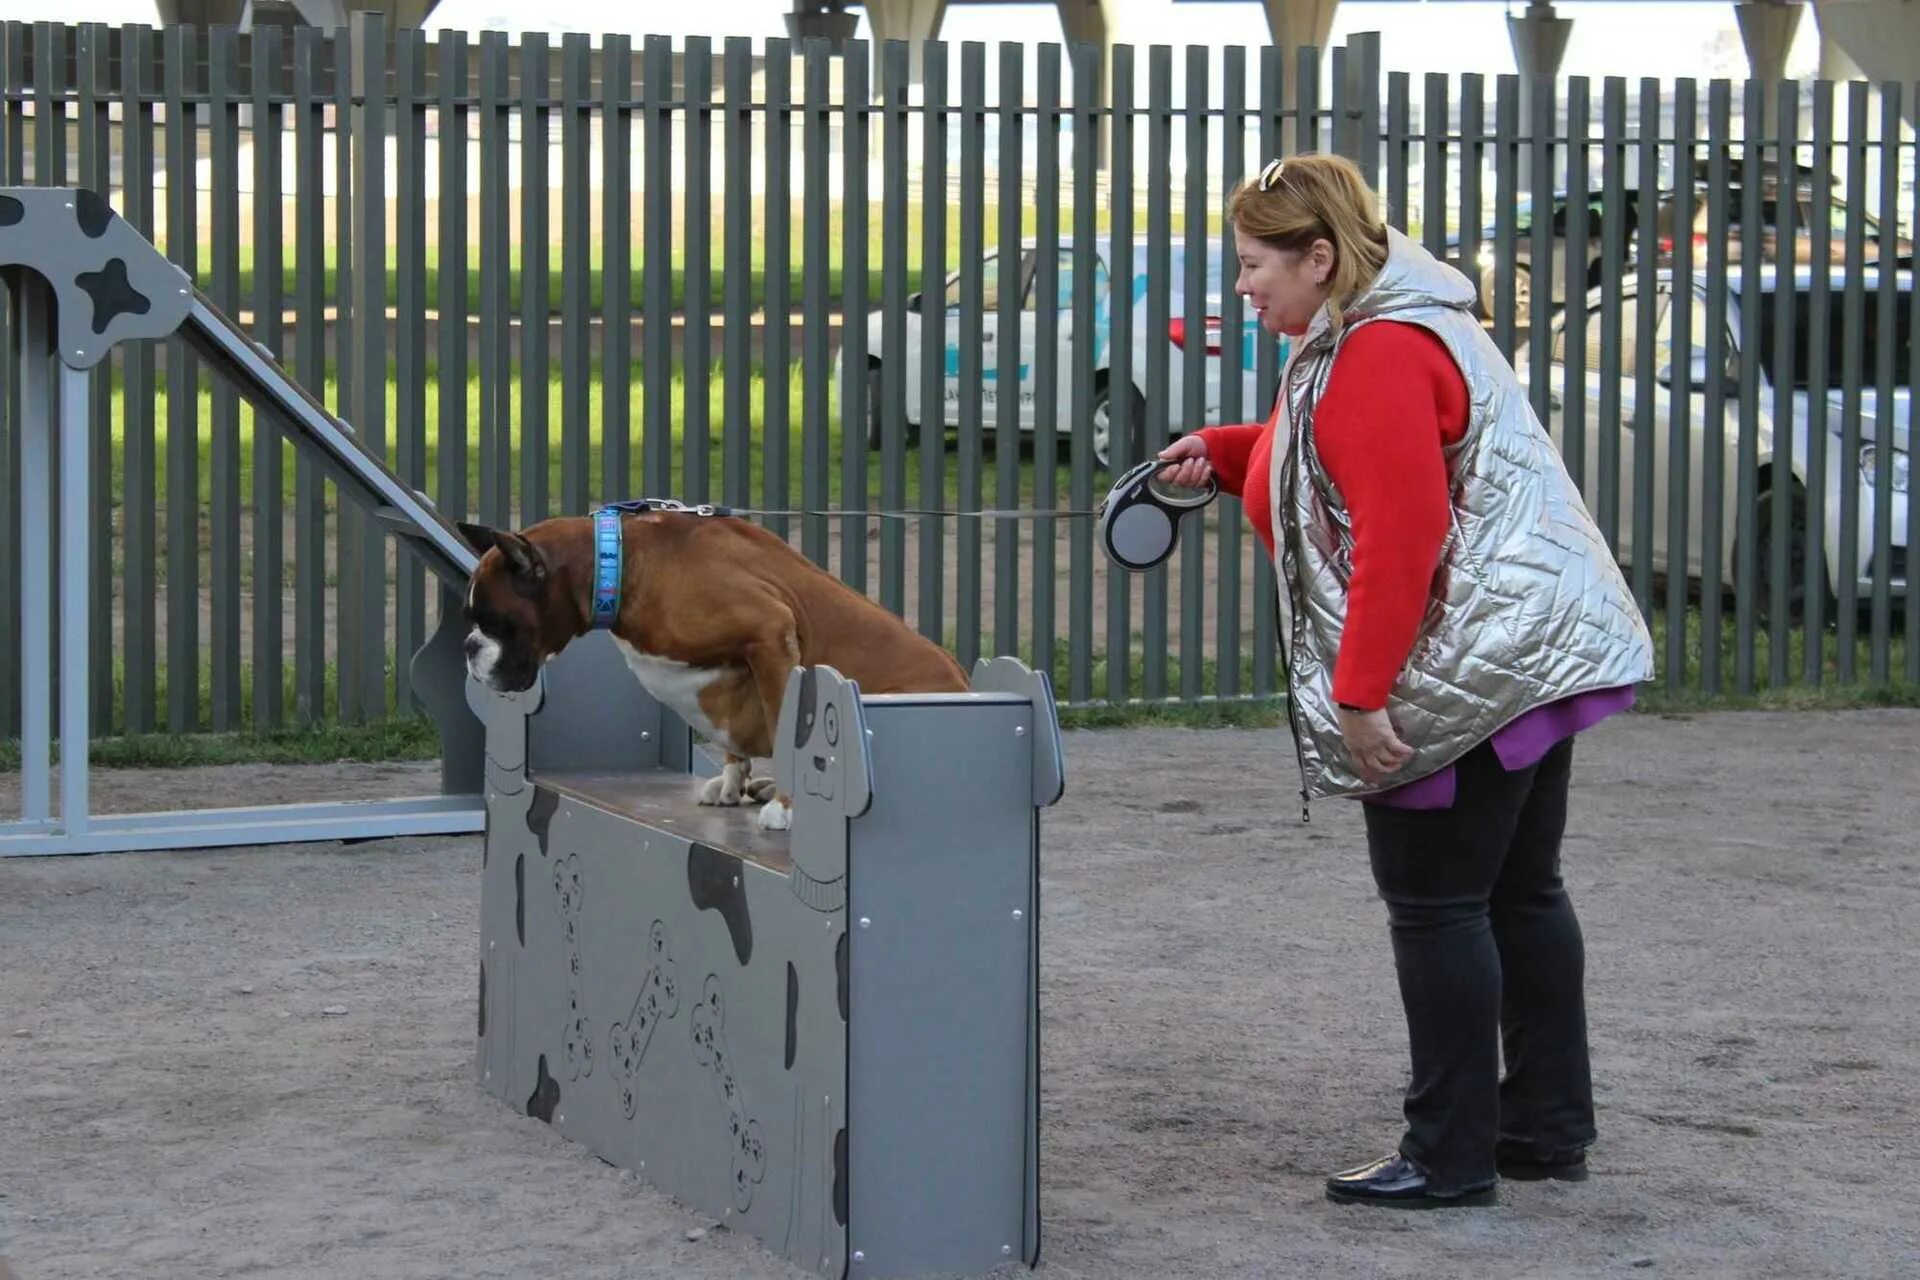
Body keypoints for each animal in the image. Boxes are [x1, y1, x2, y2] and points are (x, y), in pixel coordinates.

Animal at [456, 510, 967, 832]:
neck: (620, 565)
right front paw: (733, 782)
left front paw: (786, 807)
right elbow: (737, 744)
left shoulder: (770, 633)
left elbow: (786, 730)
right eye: (471, 619)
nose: (468, 645)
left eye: (495, 620)